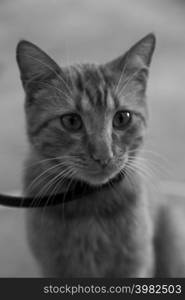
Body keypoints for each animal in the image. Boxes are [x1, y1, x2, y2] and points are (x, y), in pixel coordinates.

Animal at [15, 33, 185, 276]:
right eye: (71, 121)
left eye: (122, 118)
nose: (104, 155)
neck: (90, 207)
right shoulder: (53, 268)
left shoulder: (136, 265)